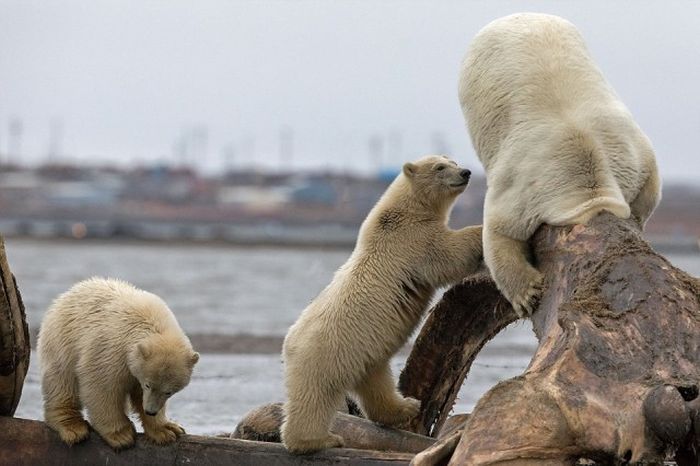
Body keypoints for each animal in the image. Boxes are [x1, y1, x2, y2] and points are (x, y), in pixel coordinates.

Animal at [38, 278, 198, 450]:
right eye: (148, 385)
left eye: (169, 392)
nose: (150, 411)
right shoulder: (110, 350)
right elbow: (102, 387)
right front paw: (121, 436)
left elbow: (138, 394)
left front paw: (167, 430)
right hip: (63, 341)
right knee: (62, 381)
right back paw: (73, 427)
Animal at [282, 155, 484, 454]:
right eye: (439, 167)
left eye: (453, 161)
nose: (466, 172)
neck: (402, 209)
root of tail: (289, 343)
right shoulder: (412, 238)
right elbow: (447, 253)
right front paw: (483, 231)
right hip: (325, 353)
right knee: (316, 396)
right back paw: (317, 440)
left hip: (366, 356)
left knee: (376, 385)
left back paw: (407, 406)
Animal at [460, 11, 660, 316]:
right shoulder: (525, 185)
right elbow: (500, 229)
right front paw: (527, 295)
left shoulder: (629, 151)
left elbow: (650, 184)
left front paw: (636, 218)